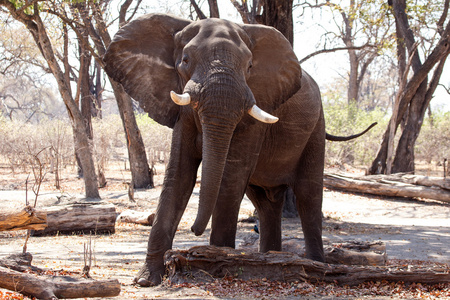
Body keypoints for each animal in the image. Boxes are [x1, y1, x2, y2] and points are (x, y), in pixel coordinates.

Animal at [103, 13, 374, 286]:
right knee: (266, 203)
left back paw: (317, 267)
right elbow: (178, 174)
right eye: (185, 60)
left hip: (316, 128)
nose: (194, 230)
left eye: (250, 66)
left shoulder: (259, 105)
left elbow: (231, 175)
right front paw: (147, 280)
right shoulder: (183, 114)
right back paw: (271, 260)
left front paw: (215, 262)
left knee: (308, 196)